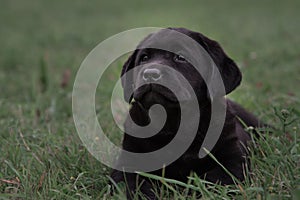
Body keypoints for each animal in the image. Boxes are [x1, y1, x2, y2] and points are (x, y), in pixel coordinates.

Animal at [111, 27, 264, 200]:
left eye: (181, 57)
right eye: (144, 58)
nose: (150, 73)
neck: (174, 123)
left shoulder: (232, 162)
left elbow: (211, 181)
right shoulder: (127, 162)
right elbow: (133, 184)